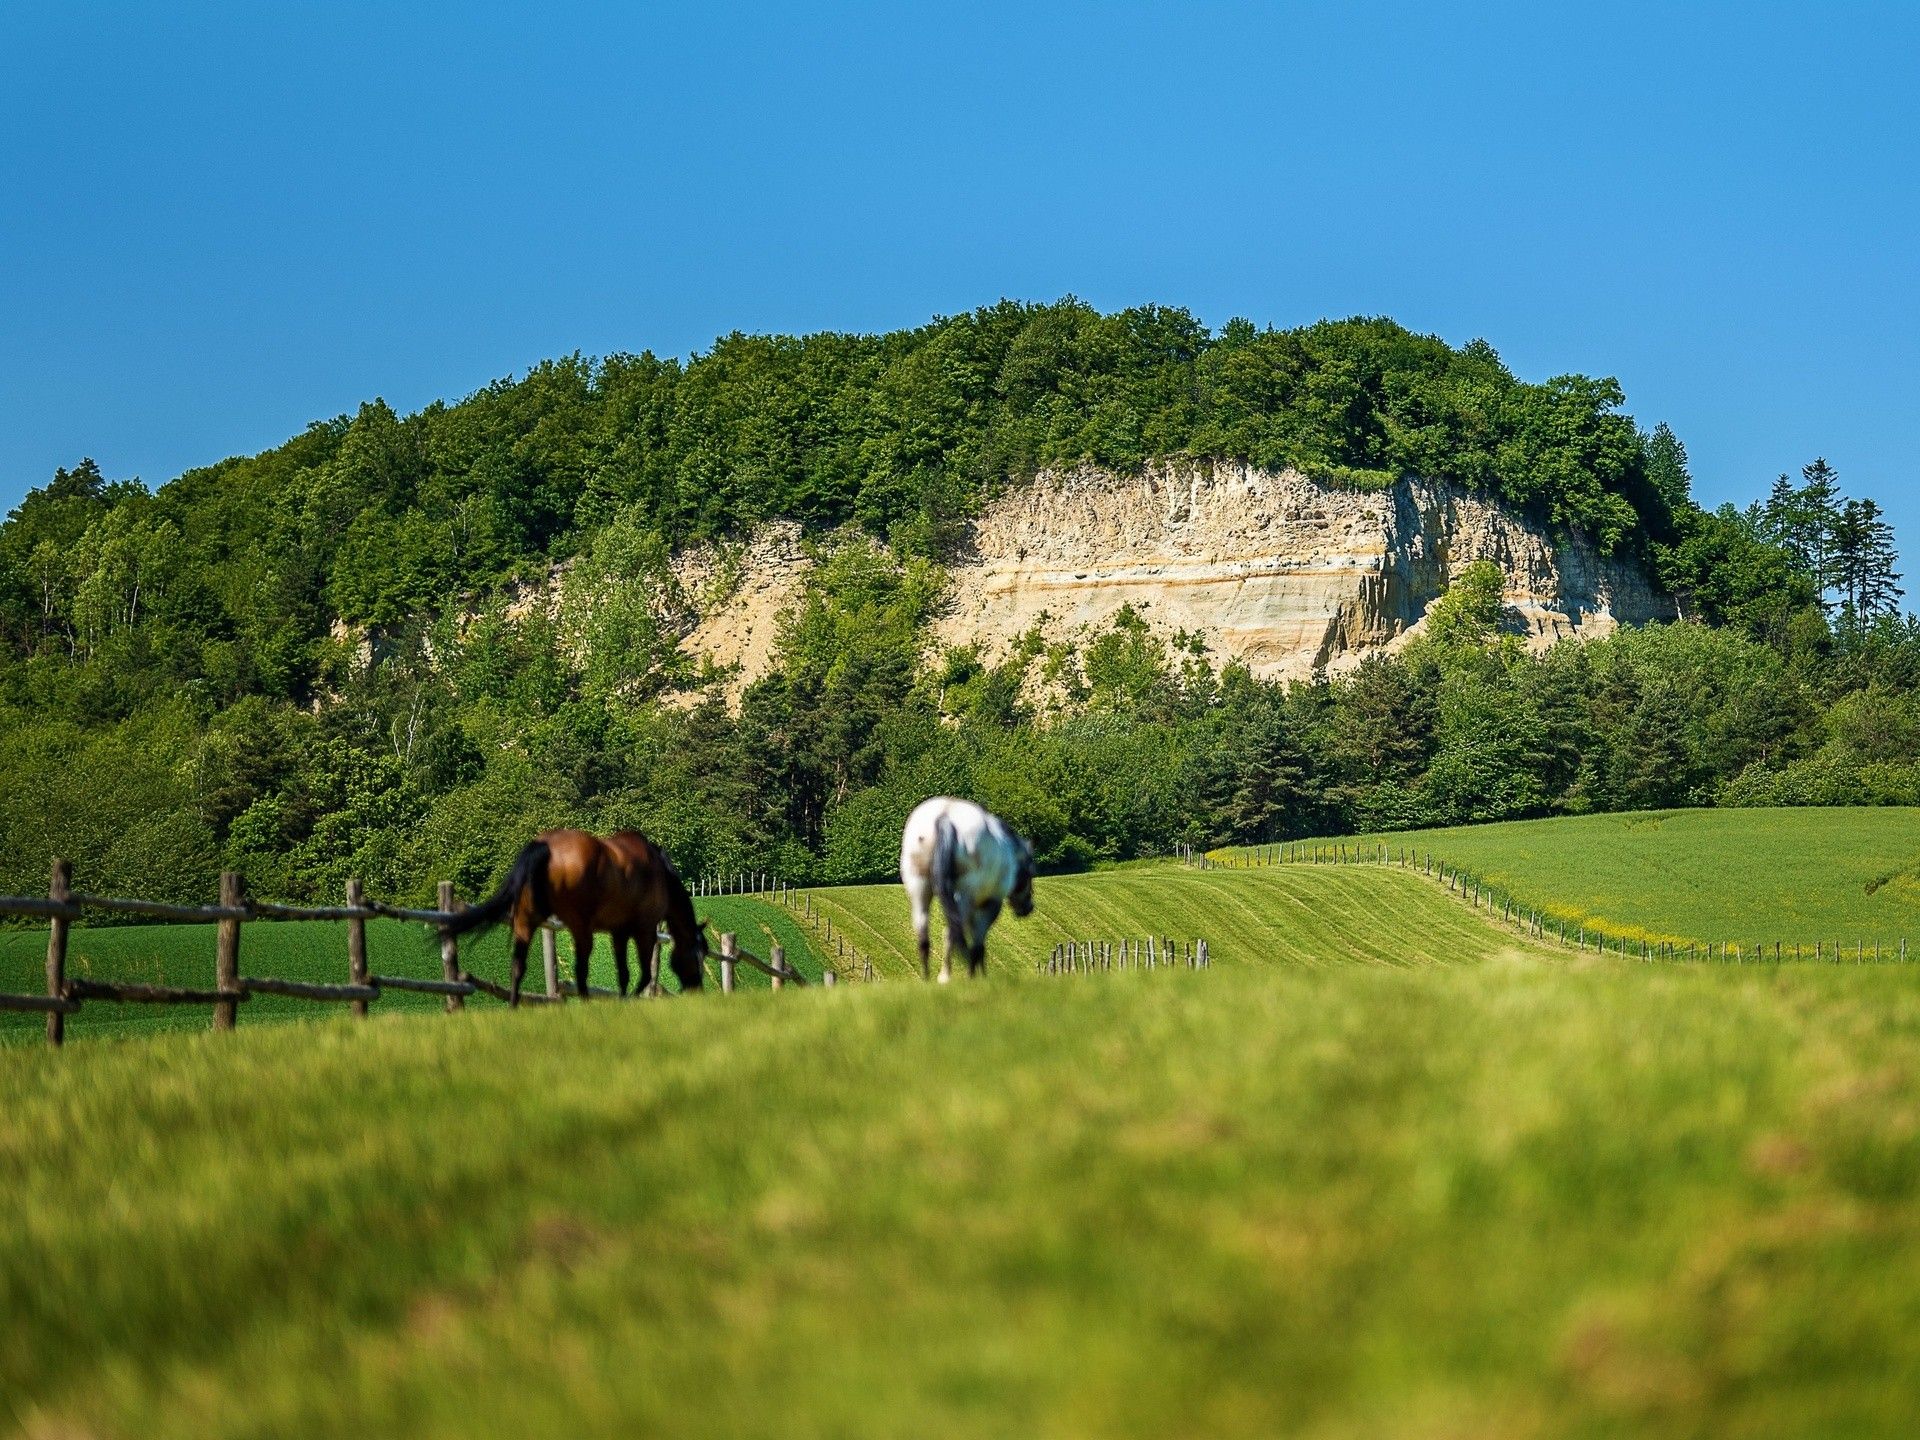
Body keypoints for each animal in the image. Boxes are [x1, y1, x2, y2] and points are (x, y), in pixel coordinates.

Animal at [445, 829, 710, 1006]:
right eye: (697, 956)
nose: (697, 989)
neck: (660, 874)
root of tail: (545, 847)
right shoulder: (644, 930)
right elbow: (644, 975)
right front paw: (628, 1001)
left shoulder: (619, 932)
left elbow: (623, 973)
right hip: (580, 927)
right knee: (581, 971)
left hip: (525, 922)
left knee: (518, 966)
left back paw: (513, 1006)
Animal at [898, 794, 1036, 990]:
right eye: (1031, 872)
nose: (1028, 907)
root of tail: (945, 816)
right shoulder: (990, 904)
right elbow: (978, 945)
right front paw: (975, 977)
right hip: (963, 894)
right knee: (951, 933)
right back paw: (945, 977)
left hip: (919, 887)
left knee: (923, 935)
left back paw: (926, 980)